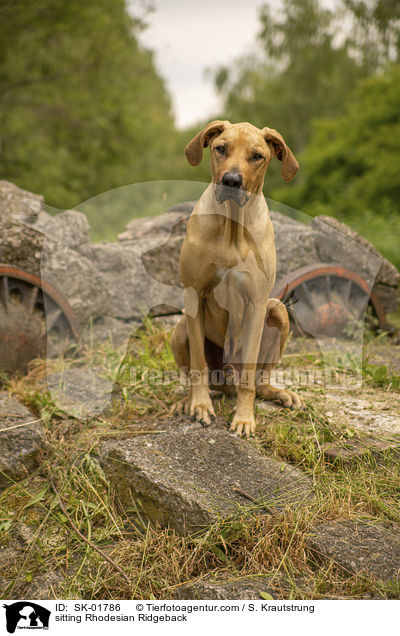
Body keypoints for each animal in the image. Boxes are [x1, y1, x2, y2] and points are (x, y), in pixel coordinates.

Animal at [170, 119, 304, 438]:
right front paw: (200, 406)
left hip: (277, 311)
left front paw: (244, 418)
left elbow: (249, 377)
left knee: (259, 381)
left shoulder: (257, 303)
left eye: (257, 156)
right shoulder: (194, 294)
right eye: (221, 148)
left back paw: (281, 393)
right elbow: (198, 363)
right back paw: (186, 400)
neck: (232, 227)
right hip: (180, 329)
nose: (231, 181)